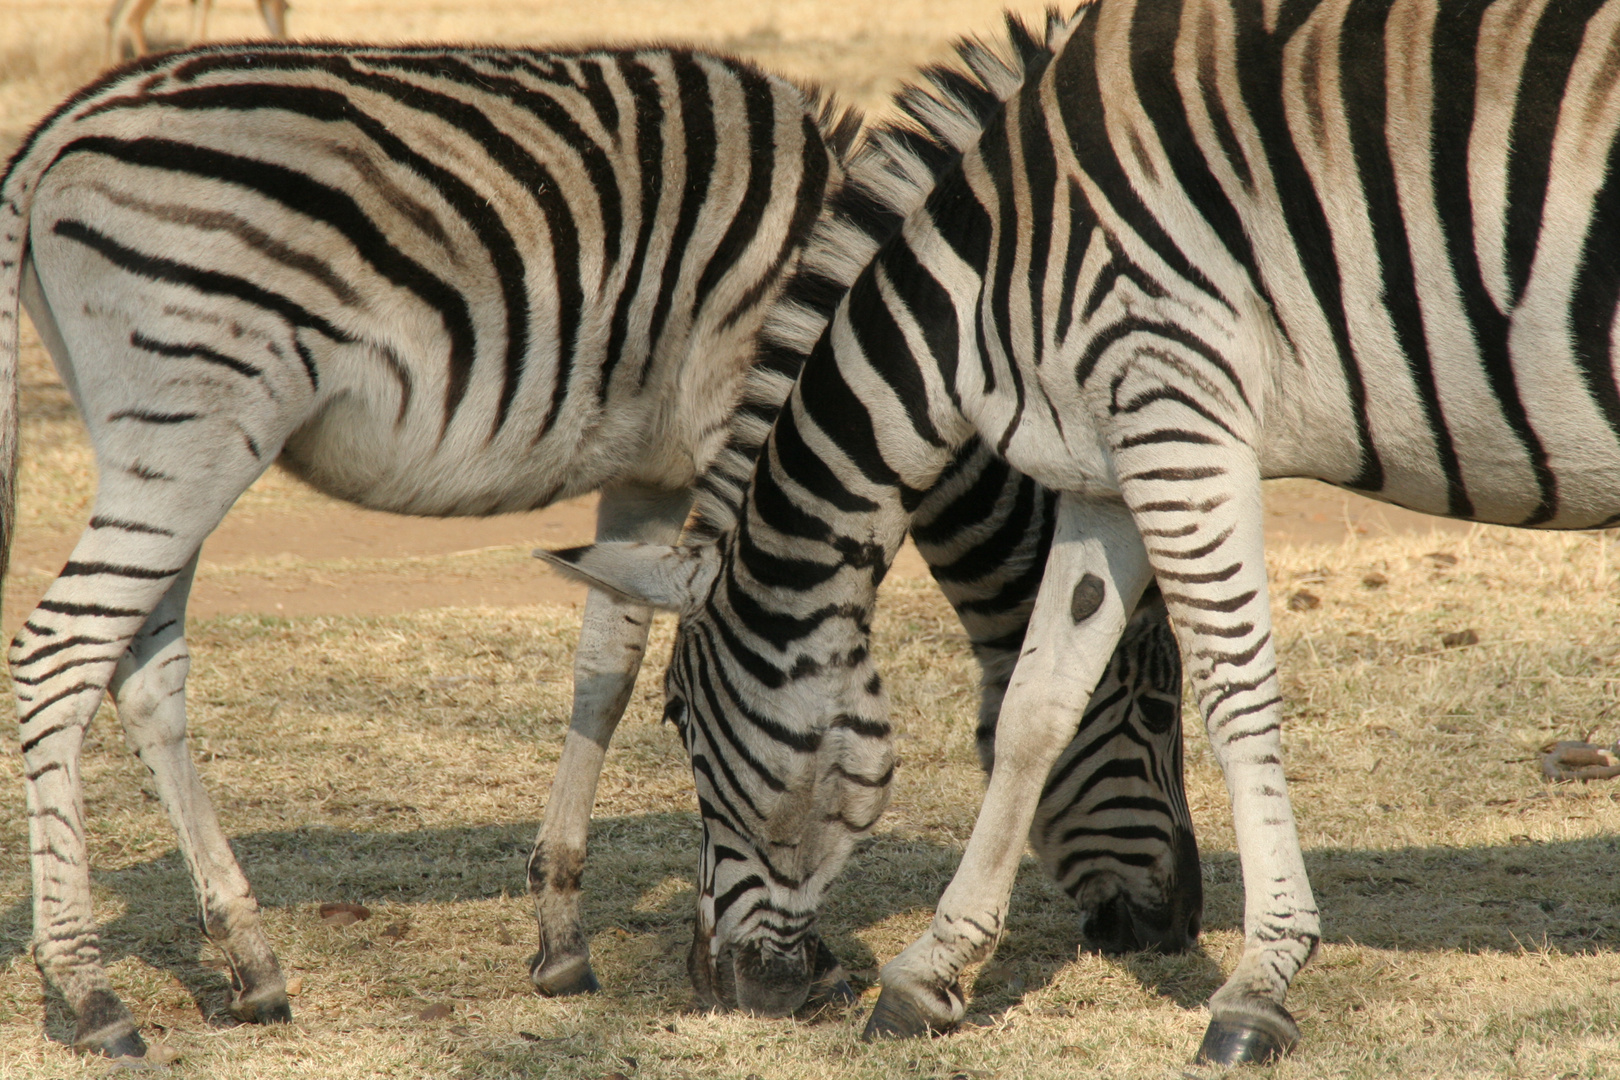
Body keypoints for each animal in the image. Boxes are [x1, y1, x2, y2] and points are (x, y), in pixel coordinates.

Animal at [0, 40, 855, 1055]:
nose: (777, 986)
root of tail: (68, 120)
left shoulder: (650, 474)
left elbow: (606, 670)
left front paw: (560, 928)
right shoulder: (739, 414)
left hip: (165, 443)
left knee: (146, 674)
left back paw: (250, 961)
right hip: (194, 425)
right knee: (61, 652)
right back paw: (88, 990)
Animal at [541, 0, 1620, 1062]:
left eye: (677, 719)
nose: (720, 988)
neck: (982, 281)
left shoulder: (1175, 407)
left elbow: (1236, 697)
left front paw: (1259, 986)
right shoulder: (1106, 460)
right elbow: (1036, 707)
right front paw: (929, 976)